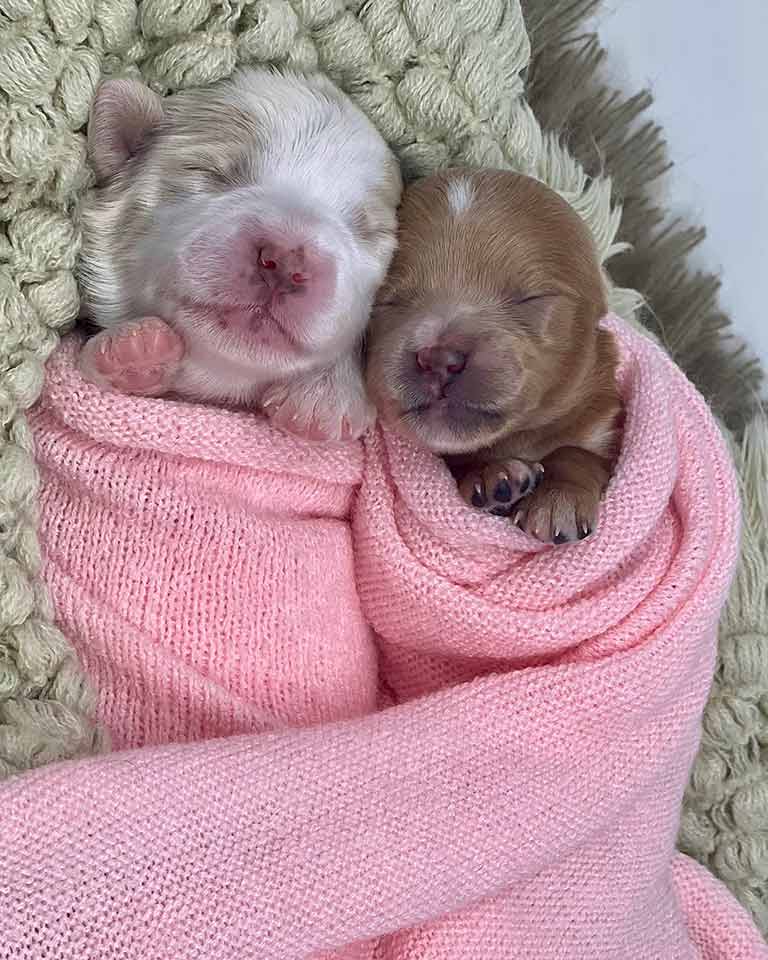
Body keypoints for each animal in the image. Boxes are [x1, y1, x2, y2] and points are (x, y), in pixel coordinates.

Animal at [366, 169, 624, 544]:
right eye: (388, 300)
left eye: (531, 298)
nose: (439, 359)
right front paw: (494, 476)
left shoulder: (604, 424)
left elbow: (578, 453)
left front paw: (558, 500)